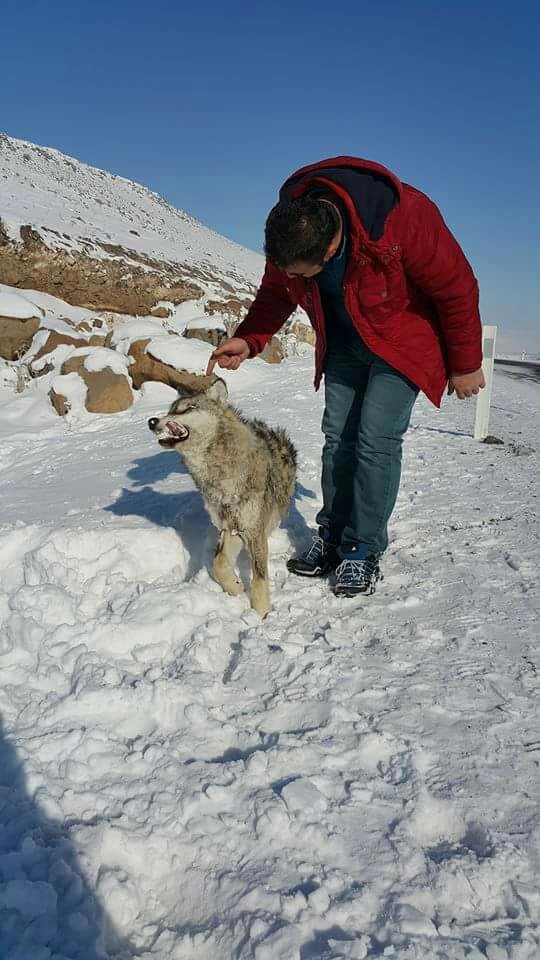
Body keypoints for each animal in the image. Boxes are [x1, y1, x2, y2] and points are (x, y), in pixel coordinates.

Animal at [148, 373, 296, 617]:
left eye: (186, 409)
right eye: (171, 409)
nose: (152, 421)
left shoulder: (252, 531)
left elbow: (259, 579)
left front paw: (262, 615)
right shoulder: (229, 528)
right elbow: (218, 564)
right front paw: (235, 588)